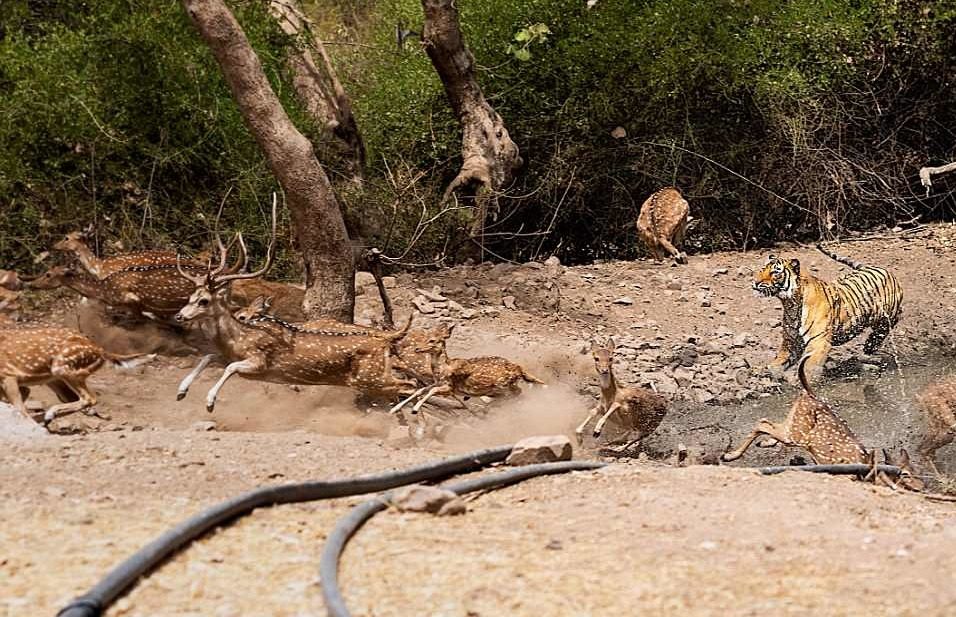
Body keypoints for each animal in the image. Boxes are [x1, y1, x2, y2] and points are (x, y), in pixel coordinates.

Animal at [756, 244, 904, 380]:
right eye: (762, 270)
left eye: (775, 272)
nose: (756, 282)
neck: (791, 303)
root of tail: (877, 268)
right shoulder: (791, 341)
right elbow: (779, 360)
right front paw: (768, 371)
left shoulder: (818, 343)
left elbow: (808, 367)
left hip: (888, 316)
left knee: (882, 330)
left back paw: (869, 348)